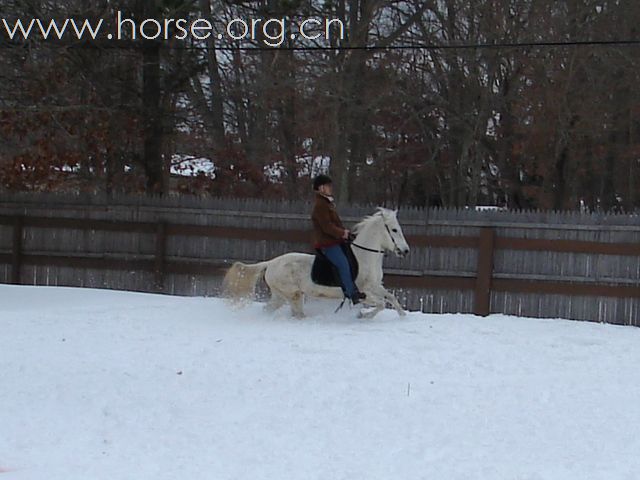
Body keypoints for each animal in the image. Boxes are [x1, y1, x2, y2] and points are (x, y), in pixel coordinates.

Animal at [221, 209, 410, 318]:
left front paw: (402, 314)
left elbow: (390, 297)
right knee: (296, 314)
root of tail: (271, 263)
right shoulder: (364, 292)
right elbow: (381, 303)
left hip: (281, 296)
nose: (405, 250)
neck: (364, 257)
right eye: (394, 230)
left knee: (271, 310)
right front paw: (364, 316)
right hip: (292, 295)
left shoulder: (376, 286)